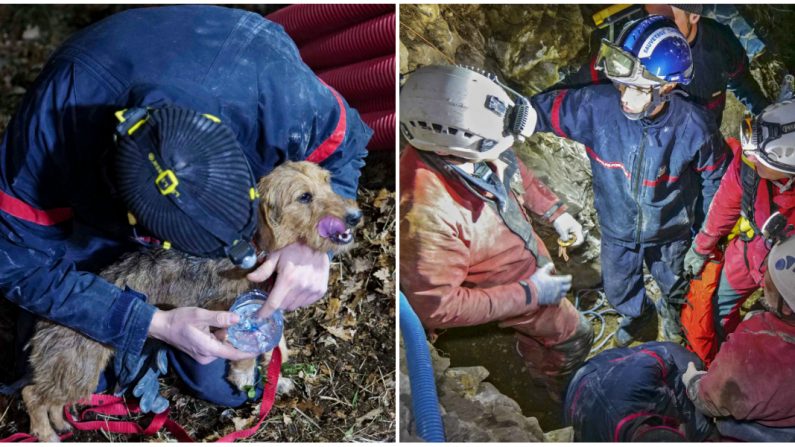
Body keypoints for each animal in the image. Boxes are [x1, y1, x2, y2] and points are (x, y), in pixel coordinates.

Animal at [21, 163, 364, 442]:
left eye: (327, 181)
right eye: (304, 197)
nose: (356, 216)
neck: (259, 247)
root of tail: (43, 324)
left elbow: (272, 350)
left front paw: (275, 376)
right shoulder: (231, 312)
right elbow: (246, 354)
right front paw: (246, 376)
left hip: (74, 374)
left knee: (51, 400)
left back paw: (61, 425)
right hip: (80, 372)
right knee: (31, 394)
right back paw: (45, 434)